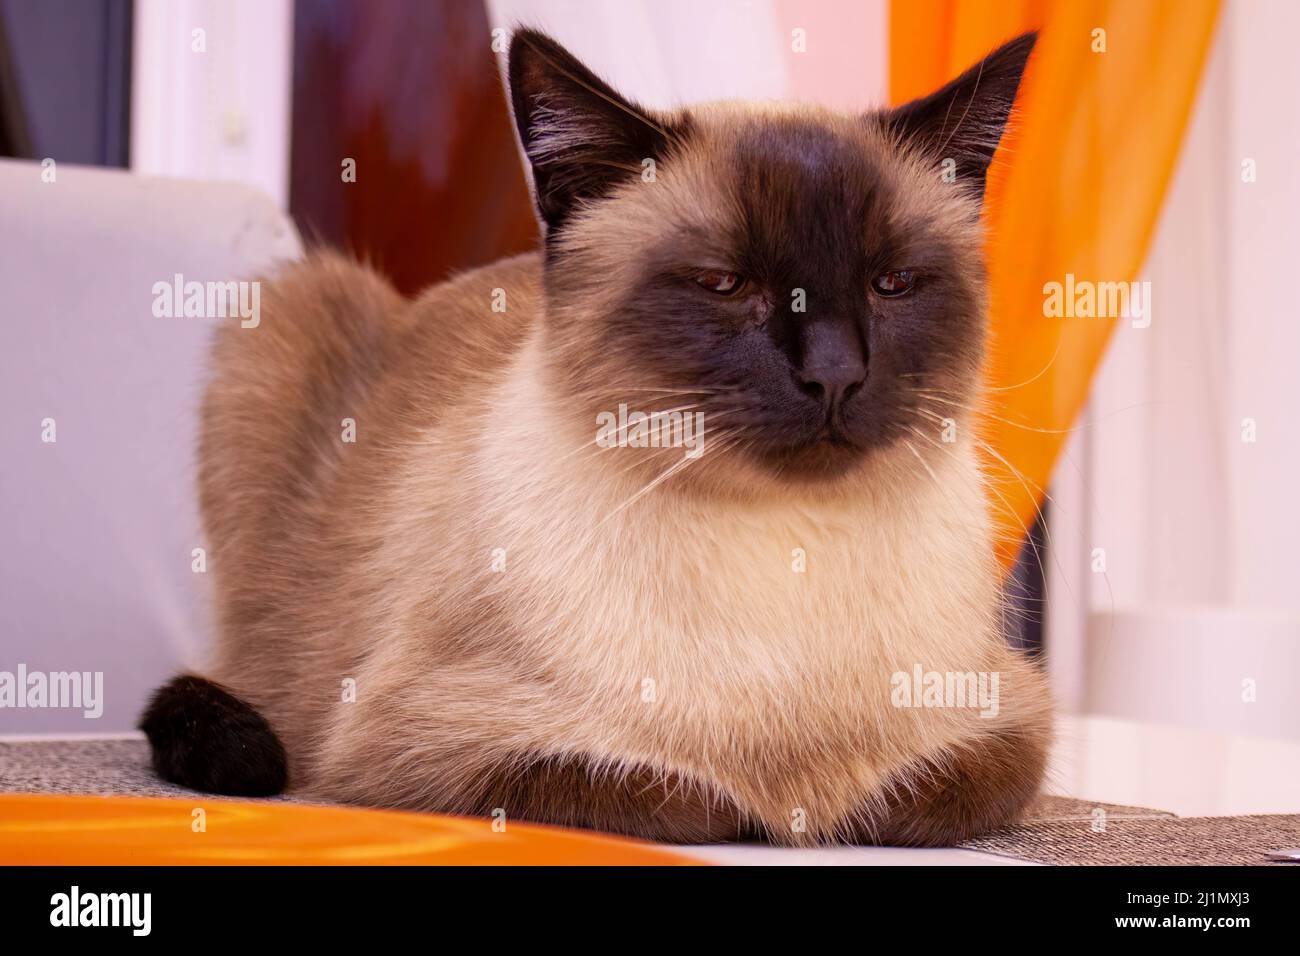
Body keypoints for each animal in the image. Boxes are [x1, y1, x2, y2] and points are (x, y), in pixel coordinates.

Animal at [144, 24, 1055, 842]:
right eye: (725, 284)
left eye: (891, 284)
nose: (834, 374)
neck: (785, 549)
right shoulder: (416, 741)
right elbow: (683, 796)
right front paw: (759, 810)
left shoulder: (1007, 717)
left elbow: (902, 796)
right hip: (280, 317)